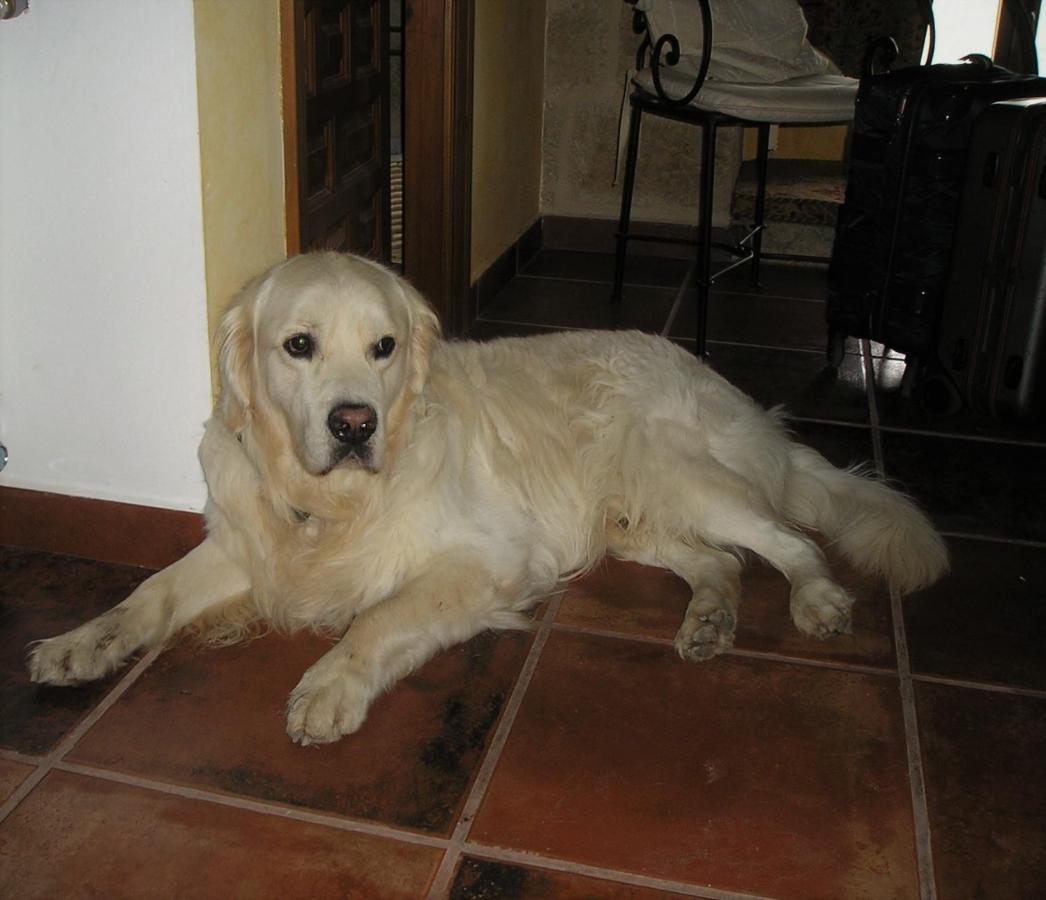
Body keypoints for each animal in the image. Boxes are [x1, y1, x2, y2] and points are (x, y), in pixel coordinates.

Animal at [30, 251, 949, 745]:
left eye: (384, 347)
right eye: (298, 345)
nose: (355, 423)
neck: (331, 508)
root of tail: (733, 389)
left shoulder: (490, 559)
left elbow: (381, 619)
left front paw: (329, 686)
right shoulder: (245, 543)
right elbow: (150, 593)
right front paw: (80, 645)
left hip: (675, 469)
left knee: (789, 541)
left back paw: (818, 601)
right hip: (634, 518)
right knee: (720, 560)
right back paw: (709, 621)